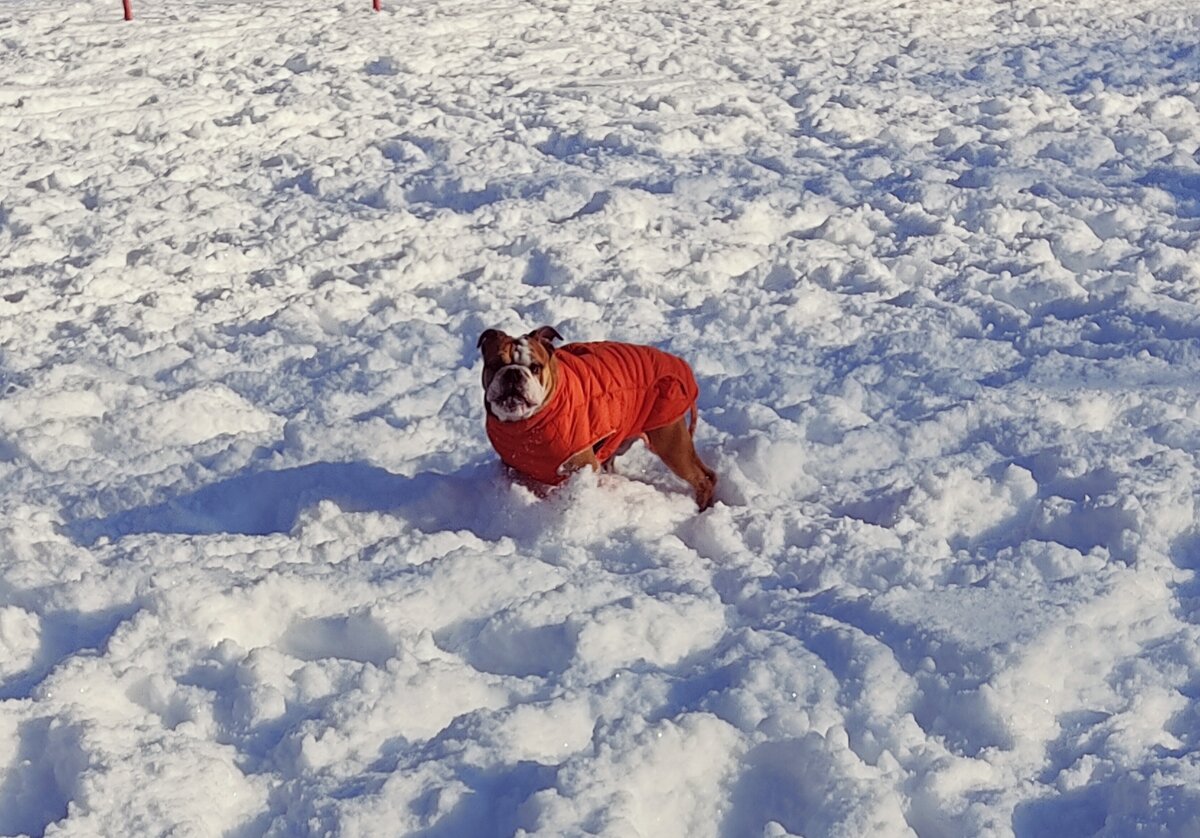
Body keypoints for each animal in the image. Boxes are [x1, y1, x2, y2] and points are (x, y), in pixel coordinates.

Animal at [475, 326, 720, 509]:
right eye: (495, 365)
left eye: (534, 367)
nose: (513, 373)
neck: (525, 425)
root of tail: (678, 363)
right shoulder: (514, 468)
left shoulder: (581, 464)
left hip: (670, 442)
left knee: (703, 477)